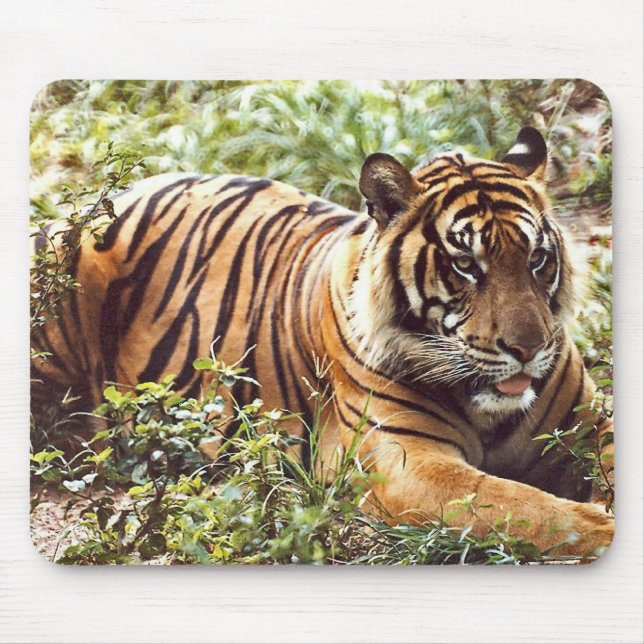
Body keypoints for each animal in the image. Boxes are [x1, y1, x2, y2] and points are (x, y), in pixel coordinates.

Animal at [31, 126, 614, 557]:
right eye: (466, 264)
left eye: (537, 258)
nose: (528, 349)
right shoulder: (402, 463)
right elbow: (524, 508)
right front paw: (605, 528)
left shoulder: (591, 421)